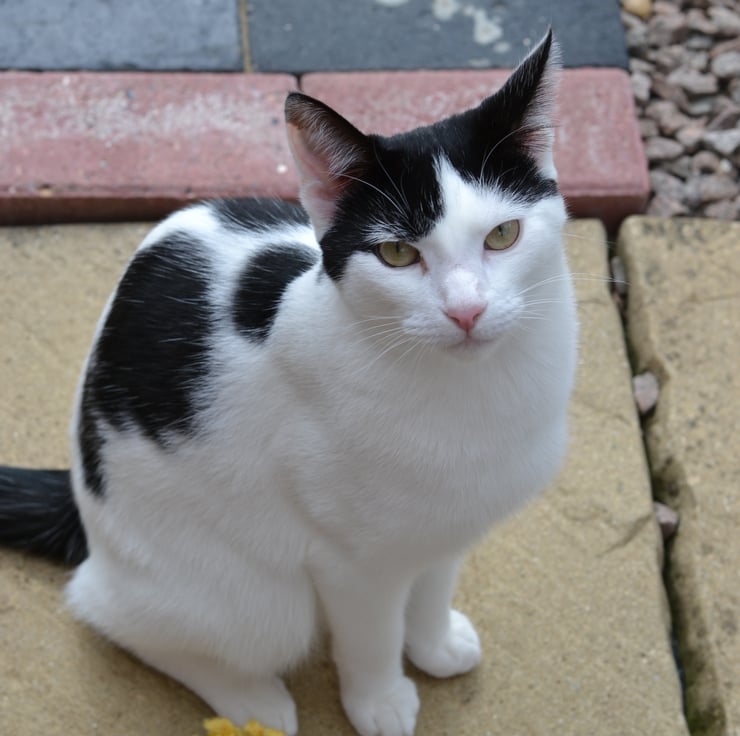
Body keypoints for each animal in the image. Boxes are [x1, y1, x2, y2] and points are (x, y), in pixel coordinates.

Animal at [0, 30, 577, 736]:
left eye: (502, 234)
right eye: (397, 254)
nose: (466, 310)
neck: (470, 395)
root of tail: (84, 510)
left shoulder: (446, 526)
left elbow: (433, 584)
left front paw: (434, 644)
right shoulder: (352, 563)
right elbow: (371, 635)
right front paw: (379, 700)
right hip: (251, 600)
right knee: (112, 612)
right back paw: (252, 700)